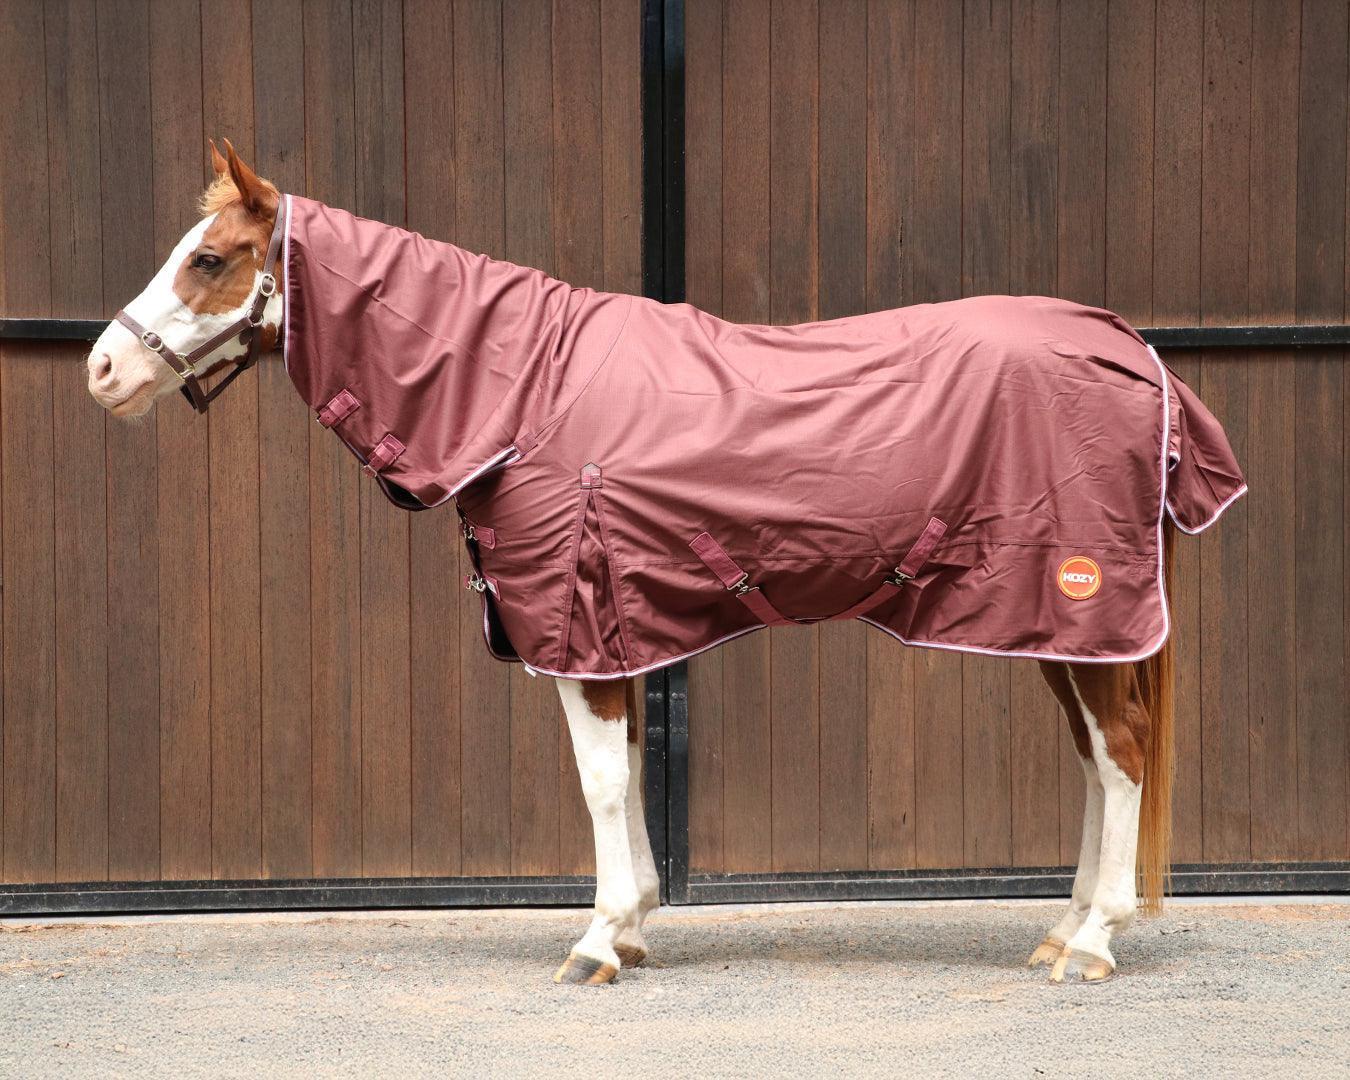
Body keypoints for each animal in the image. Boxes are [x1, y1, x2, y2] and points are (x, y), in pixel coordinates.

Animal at [87, 140, 1236, 986]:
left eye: (209, 259)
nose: (103, 368)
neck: (526, 392)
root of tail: (1130, 350)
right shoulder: (618, 630)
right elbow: (631, 770)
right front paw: (634, 924)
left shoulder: (579, 626)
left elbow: (599, 780)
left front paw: (598, 941)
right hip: (1057, 629)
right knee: (1098, 757)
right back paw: (1067, 928)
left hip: (1079, 610)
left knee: (1122, 753)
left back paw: (1093, 942)